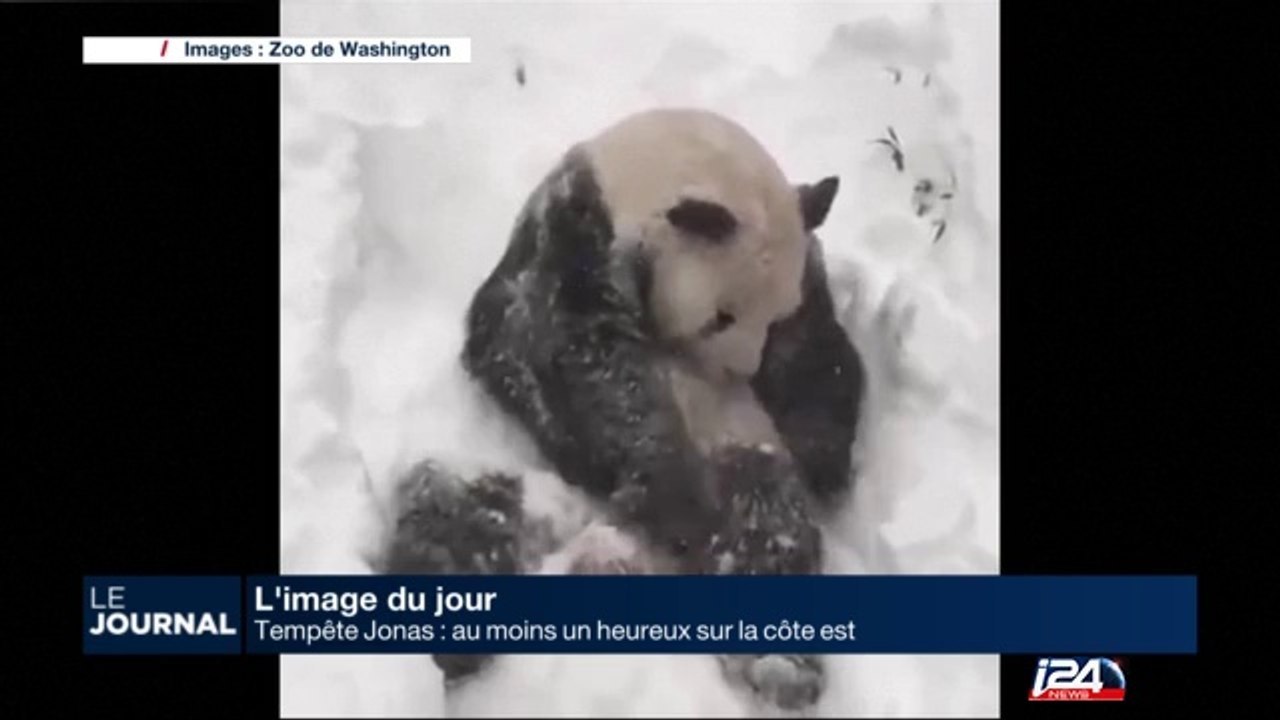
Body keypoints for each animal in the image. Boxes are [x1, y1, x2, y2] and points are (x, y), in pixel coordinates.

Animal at [383, 108, 865, 709]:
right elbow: (564, 352)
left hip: (739, 453)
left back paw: (780, 665)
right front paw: (663, 474)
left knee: (767, 515)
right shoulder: (571, 236)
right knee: (457, 522)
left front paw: (823, 458)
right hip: (495, 472)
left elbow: (822, 361)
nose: (738, 375)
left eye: (773, 321)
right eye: (720, 317)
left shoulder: (805, 282)